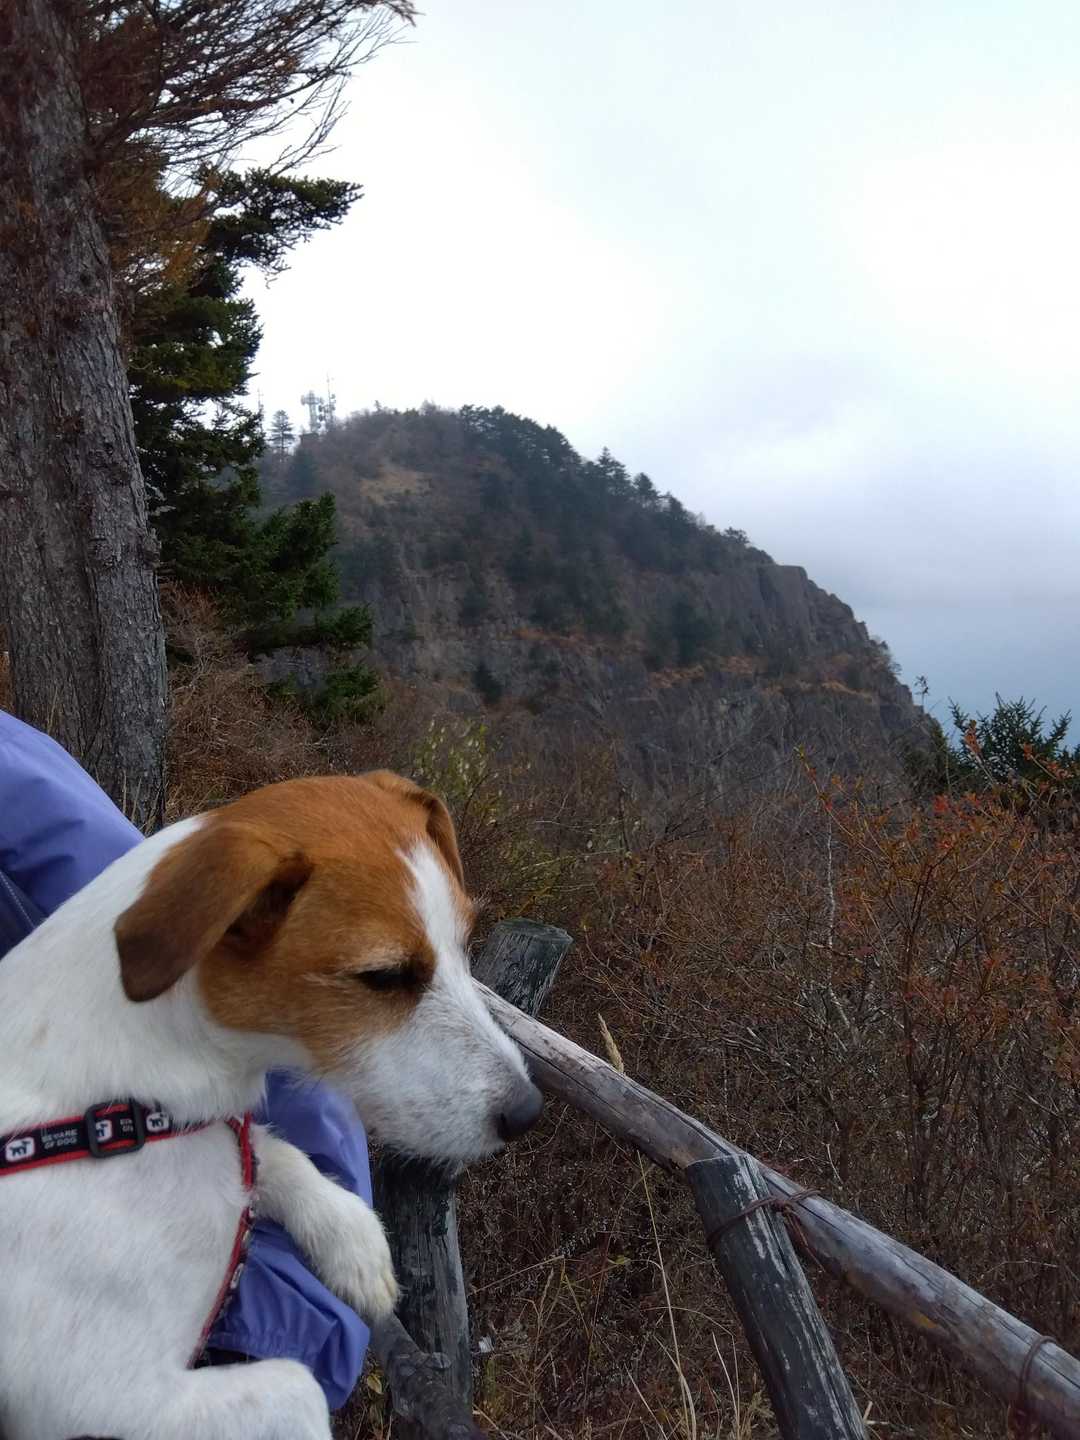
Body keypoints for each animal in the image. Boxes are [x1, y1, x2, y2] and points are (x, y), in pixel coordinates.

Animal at [0, 771, 542, 1440]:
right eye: (385, 976)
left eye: (465, 944)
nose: (527, 1112)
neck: (119, 1113)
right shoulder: (100, 1399)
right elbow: (298, 1385)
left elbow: (268, 1150)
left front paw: (354, 1241)